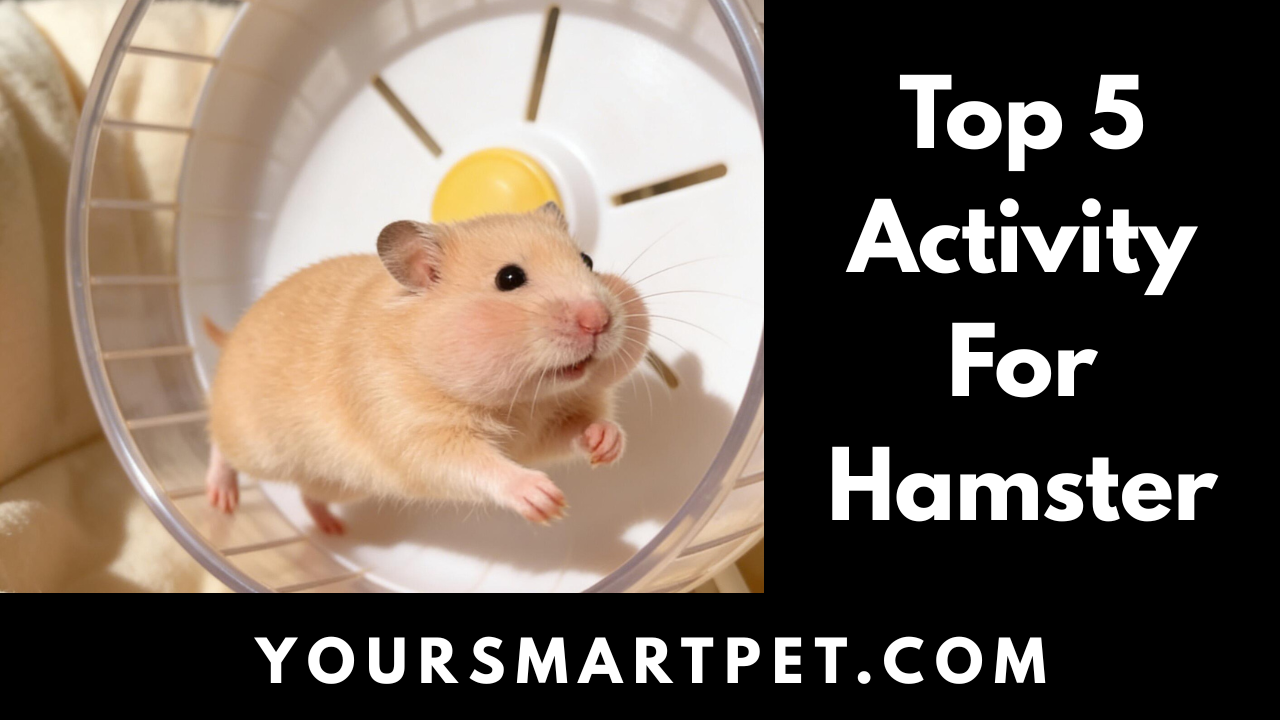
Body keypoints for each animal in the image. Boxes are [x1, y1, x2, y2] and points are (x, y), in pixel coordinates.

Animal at [203, 202, 650, 533]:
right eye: (509, 278)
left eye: (587, 260)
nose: (599, 321)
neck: (521, 400)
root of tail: (232, 337)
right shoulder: (417, 434)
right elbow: (476, 465)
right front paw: (548, 503)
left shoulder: (542, 432)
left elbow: (579, 428)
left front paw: (607, 444)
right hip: (255, 446)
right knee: (220, 447)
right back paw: (221, 500)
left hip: (341, 485)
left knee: (307, 495)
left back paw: (332, 529)